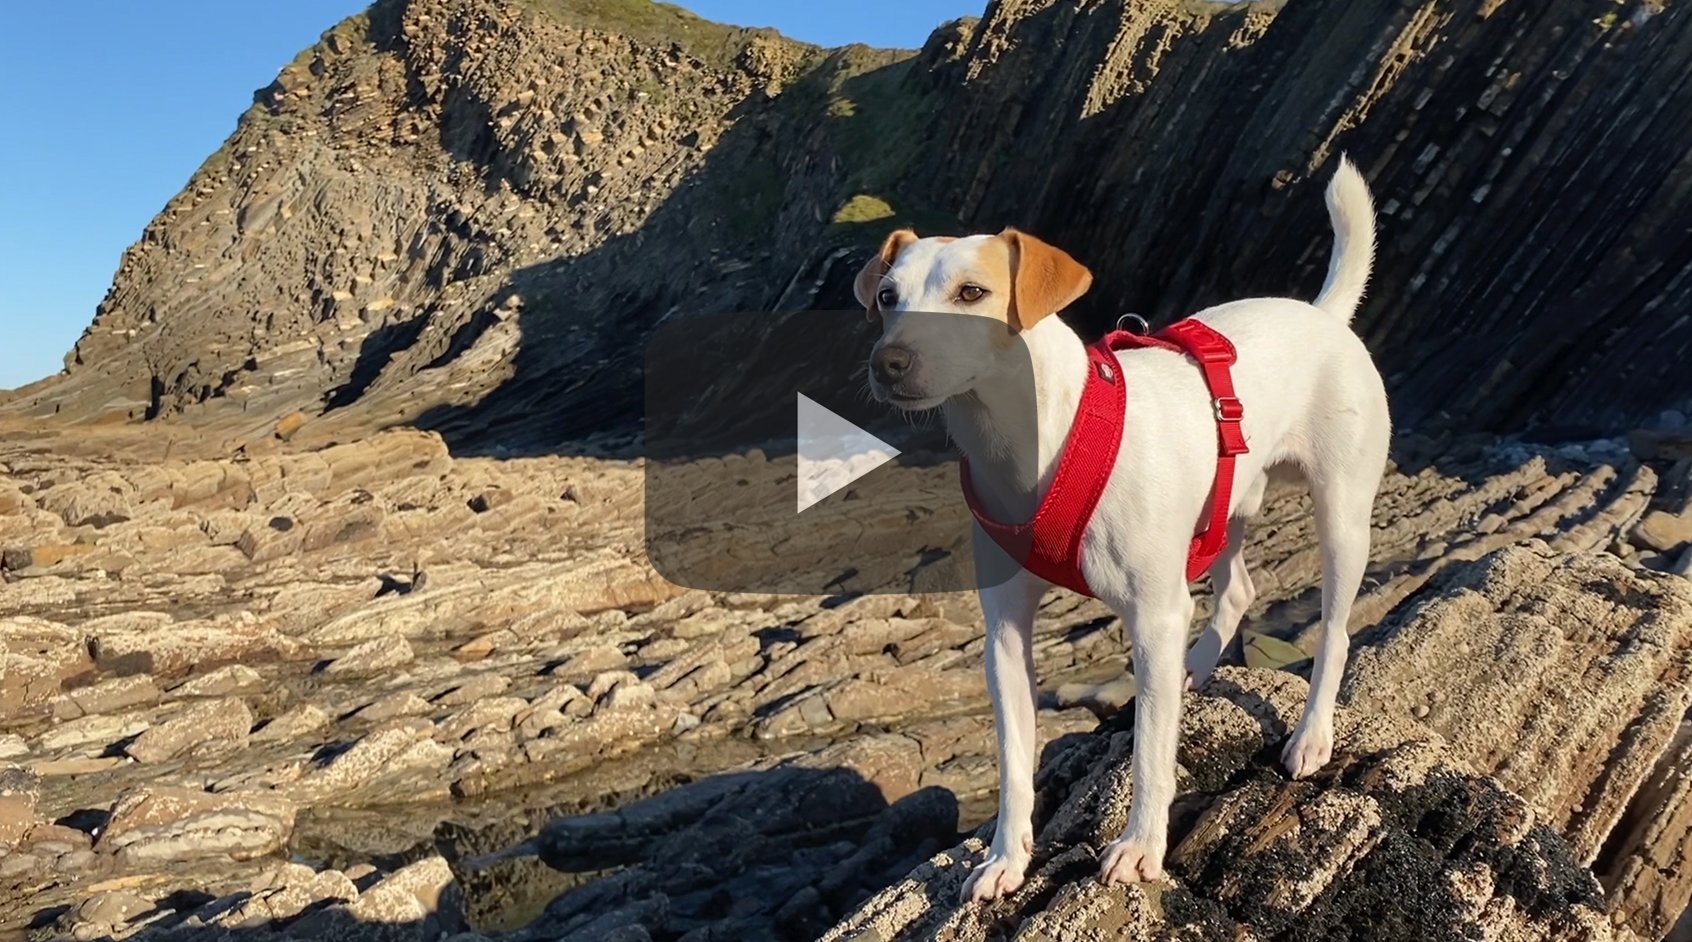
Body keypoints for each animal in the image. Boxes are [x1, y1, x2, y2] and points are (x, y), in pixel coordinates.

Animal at [859, 159, 1387, 892]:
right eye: (887, 297)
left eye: (972, 293)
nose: (889, 363)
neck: (1027, 444)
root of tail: (1323, 315)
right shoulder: (1005, 638)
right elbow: (1015, 761)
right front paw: (1005, 857)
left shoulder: (1153, 617)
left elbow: (1151, 754)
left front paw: (1141, 846)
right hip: (1227, 503)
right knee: (1237, 589)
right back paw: (1198, 662)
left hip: (1342, 514)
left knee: (1334, 631)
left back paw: (1310, 735)